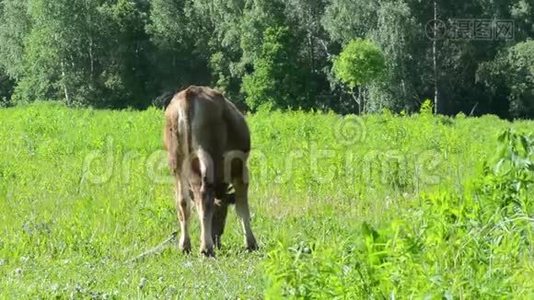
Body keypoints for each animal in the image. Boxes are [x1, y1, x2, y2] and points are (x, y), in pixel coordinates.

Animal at [163, 85, 260, 256]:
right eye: (221, 213)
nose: (217, 241)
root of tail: (190, 92)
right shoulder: (241, 170)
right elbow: (242, 208)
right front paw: (251, 243)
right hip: (206, 157)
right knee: (203, 197)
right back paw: (206, 248)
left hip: (177, 162)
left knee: (183, 201)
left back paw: (185, 245)